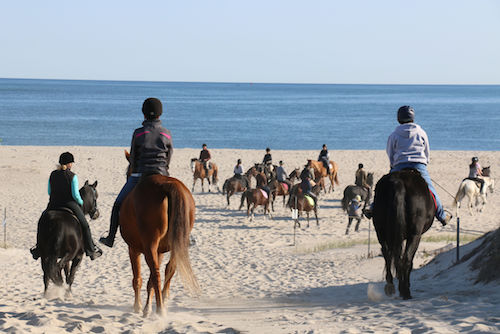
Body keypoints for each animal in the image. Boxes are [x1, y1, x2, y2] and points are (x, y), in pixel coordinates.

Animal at [122, 153, 198, 314]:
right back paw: (161, 302)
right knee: (170, 268)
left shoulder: (133, 249)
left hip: (149, 244)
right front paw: (146, 306)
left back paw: (160, 310)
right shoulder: (160, 251)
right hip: (176, 242)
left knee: (155, 273)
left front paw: (138, 307)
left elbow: (137, 279)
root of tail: (167, 185)